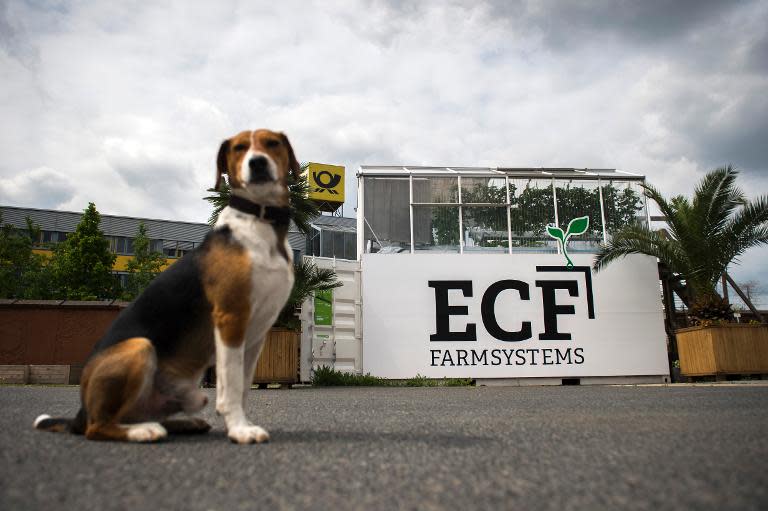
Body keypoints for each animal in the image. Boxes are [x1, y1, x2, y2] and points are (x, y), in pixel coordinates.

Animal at [36, 129, 300, 444]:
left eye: (272, 143)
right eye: (239, 148)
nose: (257, 163)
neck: (261, 221)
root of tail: (79, 413)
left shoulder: (257, 332)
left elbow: (244, 386)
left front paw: (240, 425)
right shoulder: (231, 318)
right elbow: (232, 386)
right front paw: (239, 429)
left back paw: (182, 424)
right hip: (139, 347)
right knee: (98, 427)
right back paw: (144, 431)